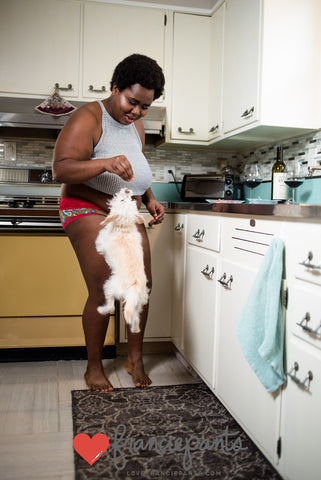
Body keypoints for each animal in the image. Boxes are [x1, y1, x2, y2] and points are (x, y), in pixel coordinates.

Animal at [95, 188, 149, 334]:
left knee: (111, 306)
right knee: (136, 318)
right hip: (138, 303)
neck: (125, 227)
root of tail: (134, 288)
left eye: (122, 200)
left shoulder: (102, 241)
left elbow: (100, 239)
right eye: (131, 200)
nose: (127, 190)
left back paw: (102, 310)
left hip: (109, 286)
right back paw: (135, 329)